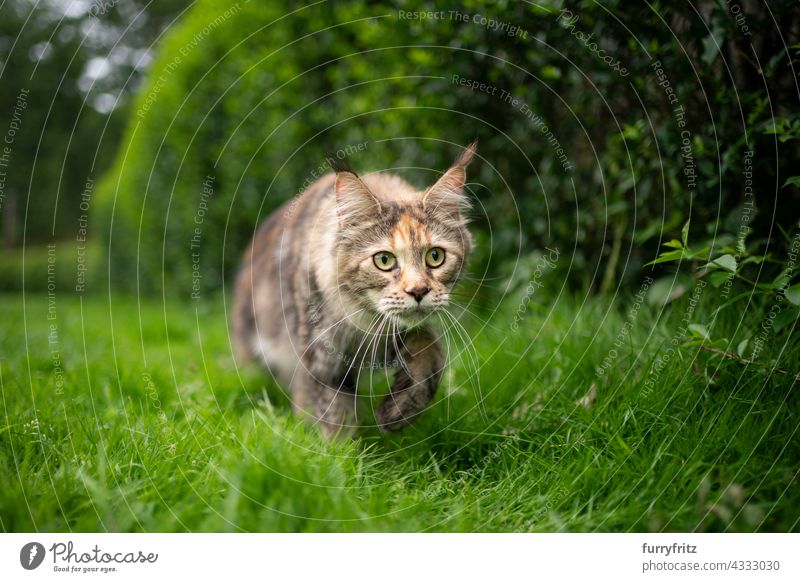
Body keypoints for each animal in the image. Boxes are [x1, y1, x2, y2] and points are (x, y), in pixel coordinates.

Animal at [231, 144, 478, 440]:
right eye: (384, 260)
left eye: (435, 256)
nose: (418, 291)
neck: (366, 322)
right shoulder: (324, 357)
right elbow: (337, 417)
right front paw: (342, 451)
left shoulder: (398, 334)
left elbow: (431, 349)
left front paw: (397, 411)